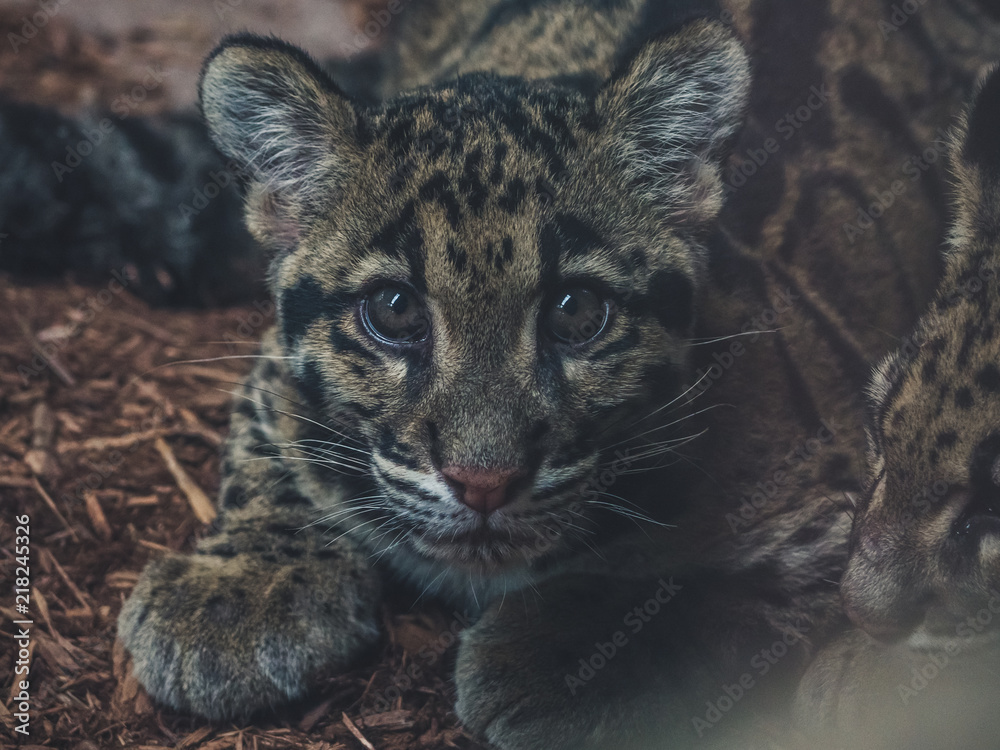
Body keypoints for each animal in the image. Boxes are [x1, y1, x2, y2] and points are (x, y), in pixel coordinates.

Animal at [107, 1, 1000, 748]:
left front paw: (566, 654)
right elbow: (273, 444)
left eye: (577, 311)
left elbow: (771, 584)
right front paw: (236, 591)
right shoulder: (272, 370)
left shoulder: (850, 492)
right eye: (393, 310)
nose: (484, 482)